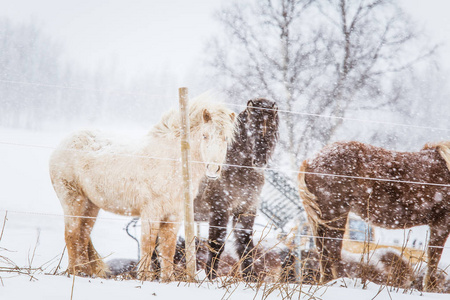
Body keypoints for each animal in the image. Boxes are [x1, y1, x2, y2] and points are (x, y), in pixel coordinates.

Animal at [49, 98, 237, 282]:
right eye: (205, 136)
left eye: (226, 138)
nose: (213, 169)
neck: (173, 161)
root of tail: (62, 144)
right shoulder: (151, 211)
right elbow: (148, 244)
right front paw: (144, 278)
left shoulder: (174, 214)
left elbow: (168, 247)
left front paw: (167, 279)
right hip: (73, 199)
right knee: (72, 235)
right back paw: (74, 272)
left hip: (91, 205)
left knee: (82, 236)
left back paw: (85, 273)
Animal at [193, 99, 278, 280]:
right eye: (252, 128)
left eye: (272, 128)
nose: (260, 161)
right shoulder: (220, 210)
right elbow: (216, 245)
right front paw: (210, 277)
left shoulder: (246, 211)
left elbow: (246, 246)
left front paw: (250, 278)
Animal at [298, 142, 450, 292]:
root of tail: (310, 161)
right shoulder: (442, 223)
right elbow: (433, 259)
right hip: (335, 216)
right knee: (332, 252)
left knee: (323, 254)